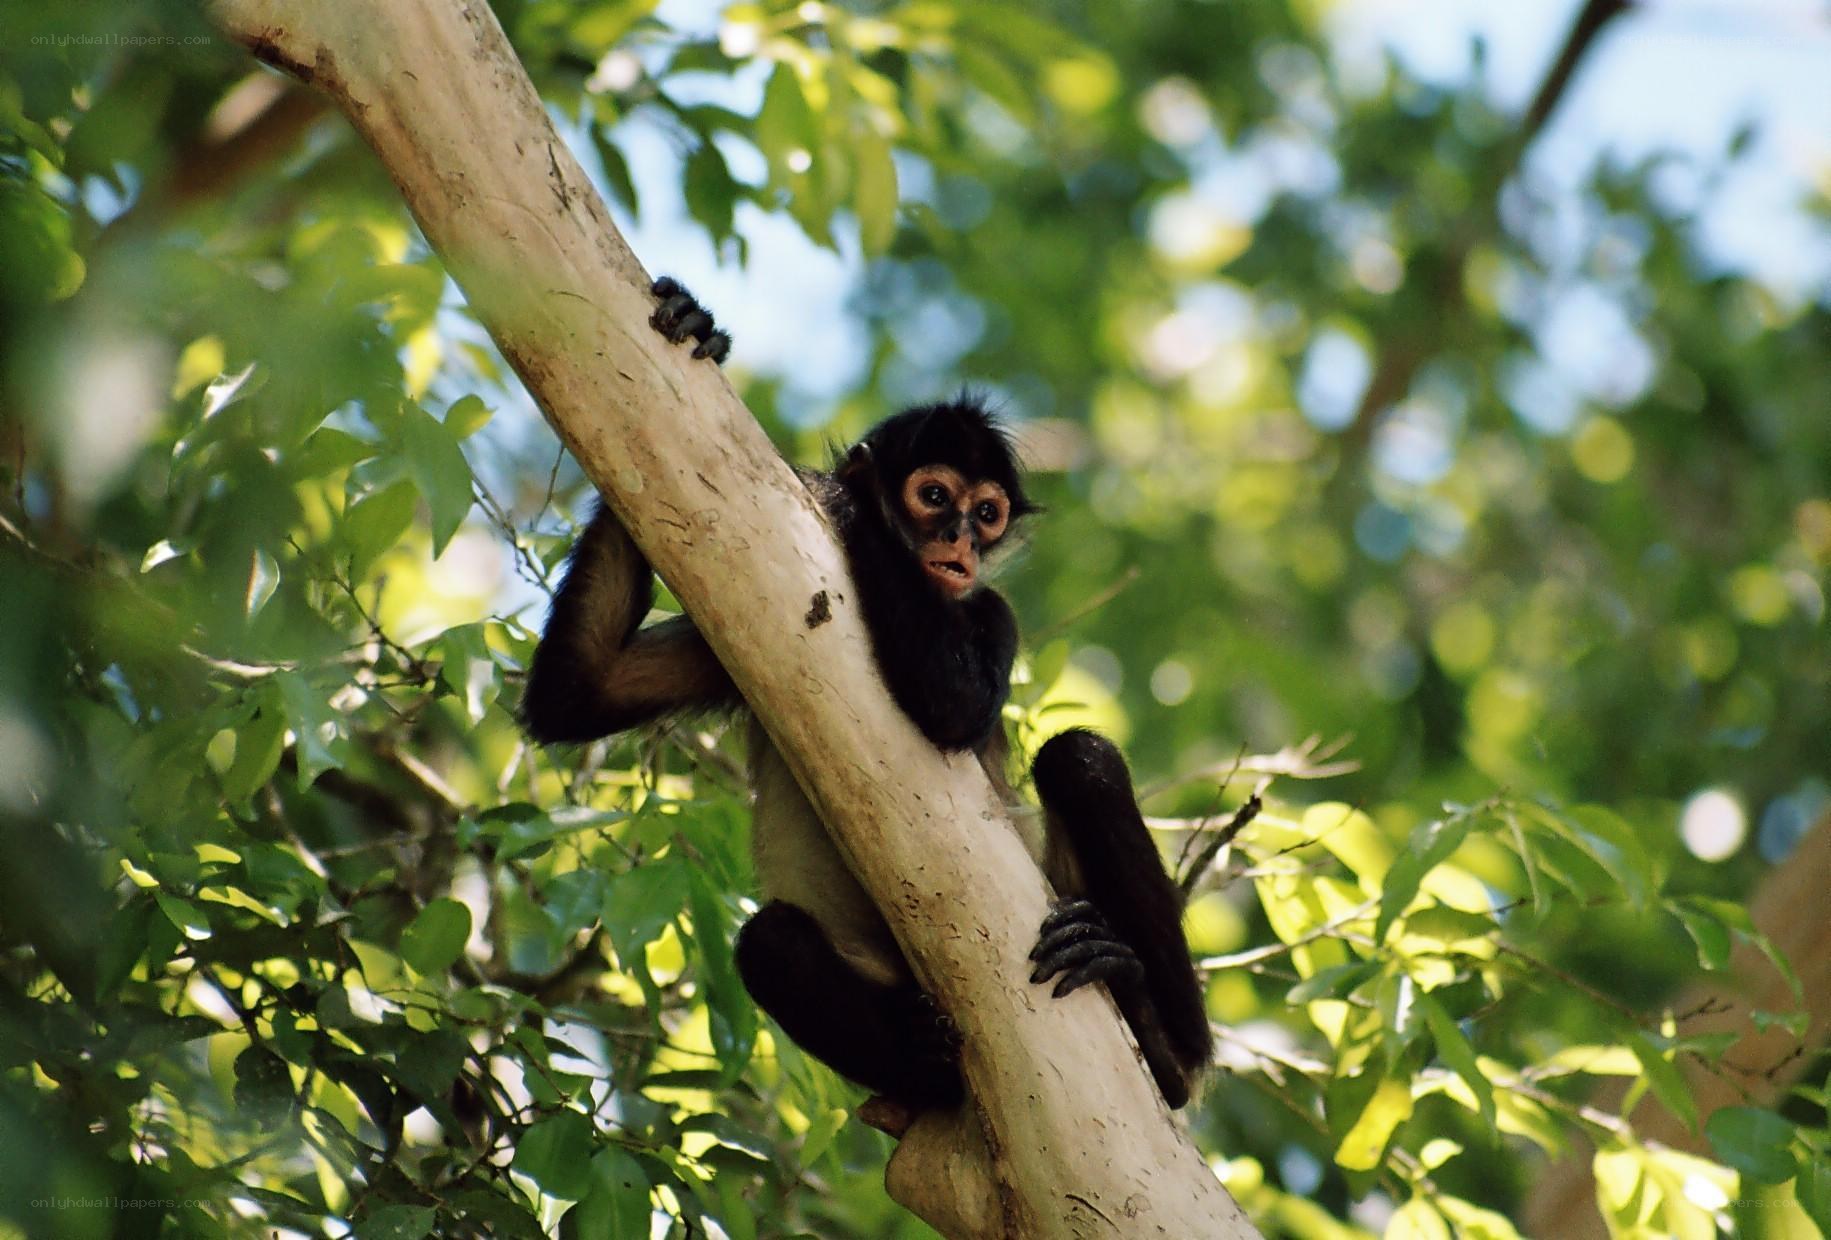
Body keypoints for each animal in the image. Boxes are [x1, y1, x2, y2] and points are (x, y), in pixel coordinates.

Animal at [521, 278, 1211, 1115]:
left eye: (987, 513)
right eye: (934, 495)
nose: (958, 541)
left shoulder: (992, 612)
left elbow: (955, 710)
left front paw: (853, 504)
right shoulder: (723, 650)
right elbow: (576, 693)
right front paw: (694, 323)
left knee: (1079, 757)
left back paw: (1165, 1048)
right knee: (770, 944)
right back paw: (928, 1065)